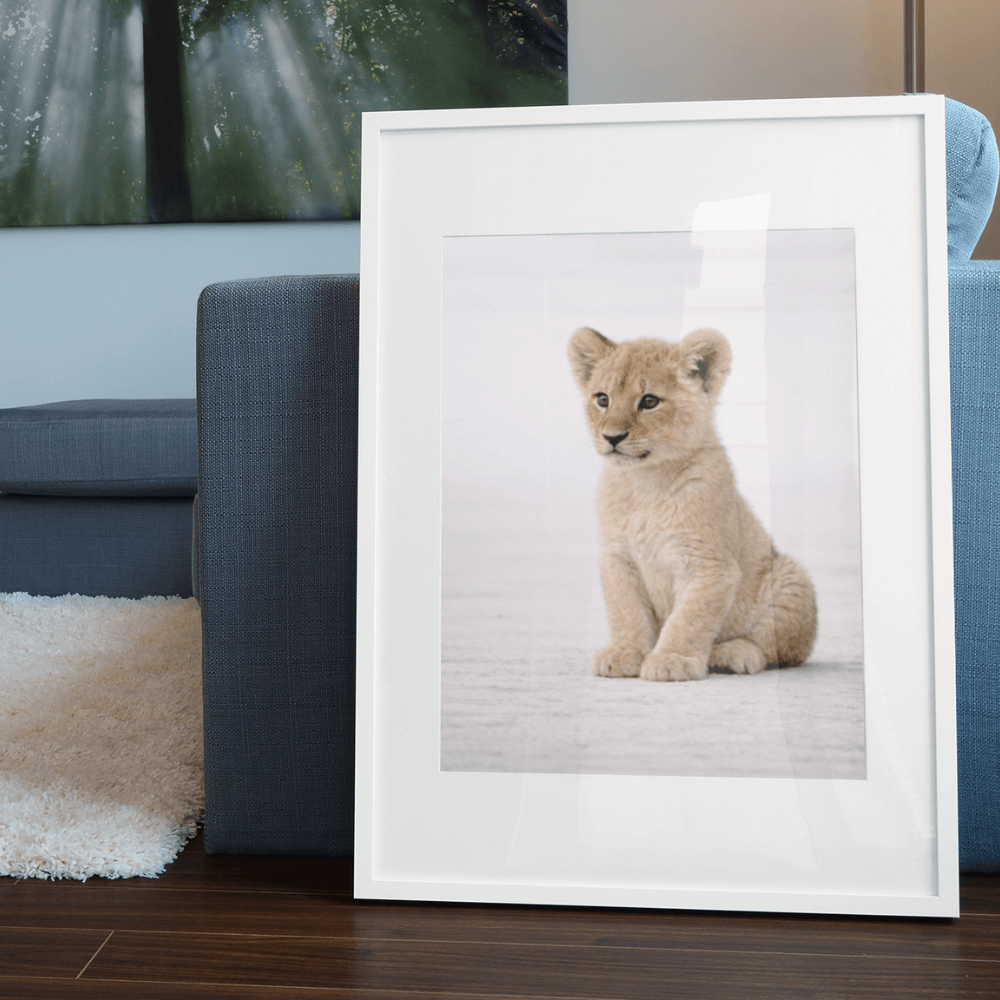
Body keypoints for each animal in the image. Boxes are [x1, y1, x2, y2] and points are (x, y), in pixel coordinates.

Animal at [567, 325, 817, 682]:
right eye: (602, 399)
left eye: (649, 401)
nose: (612, 437)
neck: (646, 482)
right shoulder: (618, 559)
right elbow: (625, 611)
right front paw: (623, 653)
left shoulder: (710, 565)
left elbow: (689, 618)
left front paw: (672, 660)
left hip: (790, 578)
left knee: (781, 648)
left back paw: (732, 653)